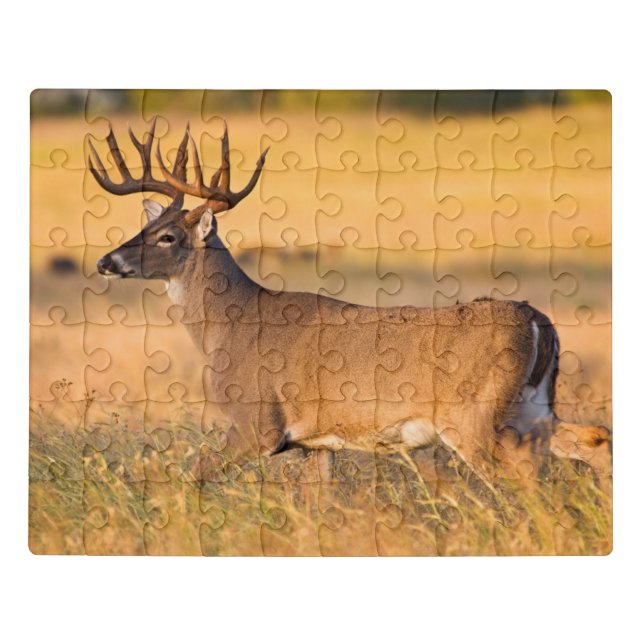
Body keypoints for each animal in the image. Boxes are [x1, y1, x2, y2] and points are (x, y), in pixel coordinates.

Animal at [88, 120, 611, 484]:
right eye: (145, 226)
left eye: (167, 236)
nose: (105, 261)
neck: (229, 326)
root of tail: (537, 319)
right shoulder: (318, 443)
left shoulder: (256, 423)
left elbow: (192, 476)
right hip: (531, 405)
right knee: (592, 439)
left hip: (473, 413)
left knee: (523, 469)